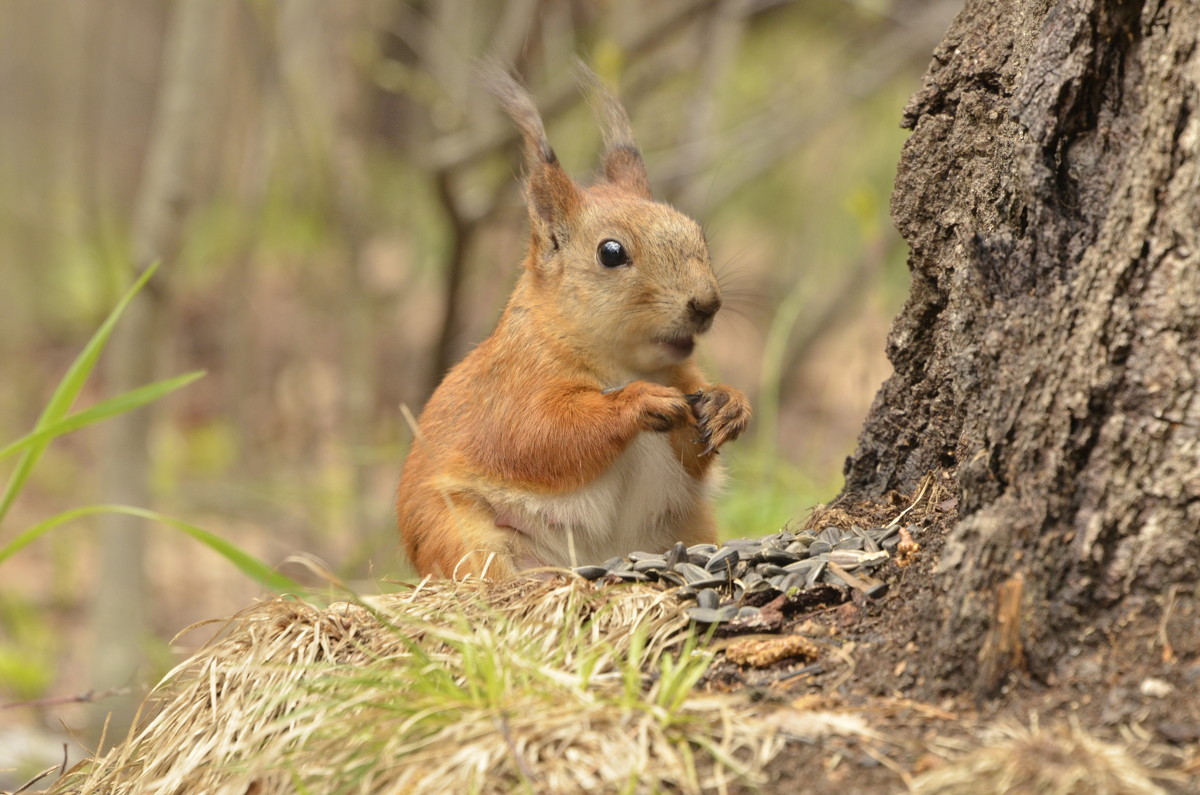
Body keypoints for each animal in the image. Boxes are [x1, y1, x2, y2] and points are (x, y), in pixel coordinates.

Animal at [396, 68, 748, 578]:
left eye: (696, 232)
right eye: (611, 253)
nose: (707, 304)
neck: (623, 363)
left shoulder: (684, 380)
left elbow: (692, 454)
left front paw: (728, 403)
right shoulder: (511, 390)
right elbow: (541, 438)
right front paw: (638, 402)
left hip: (689, 524)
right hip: (461, 535)